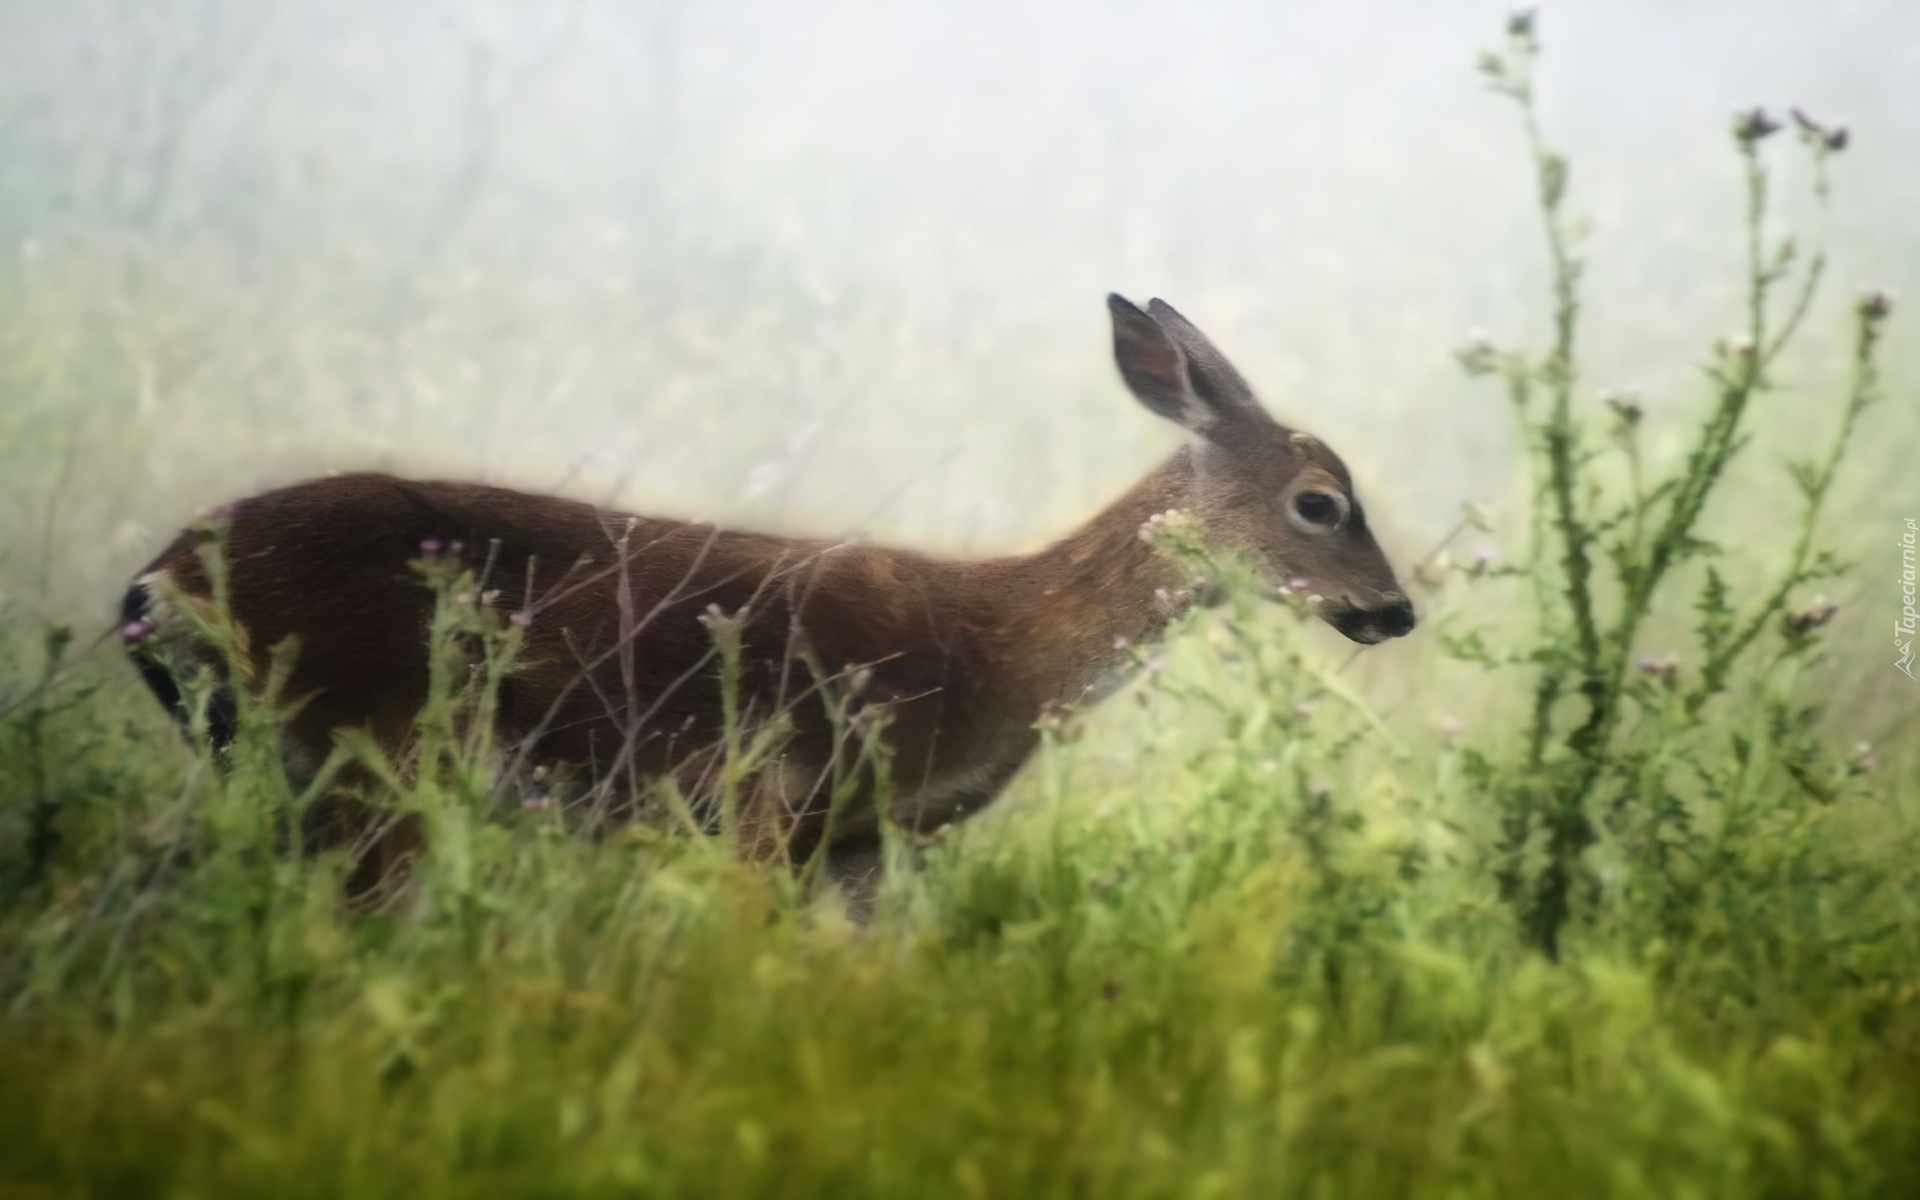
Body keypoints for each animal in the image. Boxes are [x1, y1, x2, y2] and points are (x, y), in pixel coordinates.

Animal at [120, 295, 1413, 894]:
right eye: (1321, 501)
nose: (1396, 611)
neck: (1002, 651)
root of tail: (152, 584)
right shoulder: (766, 807)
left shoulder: (864, 849)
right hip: (374, 752)